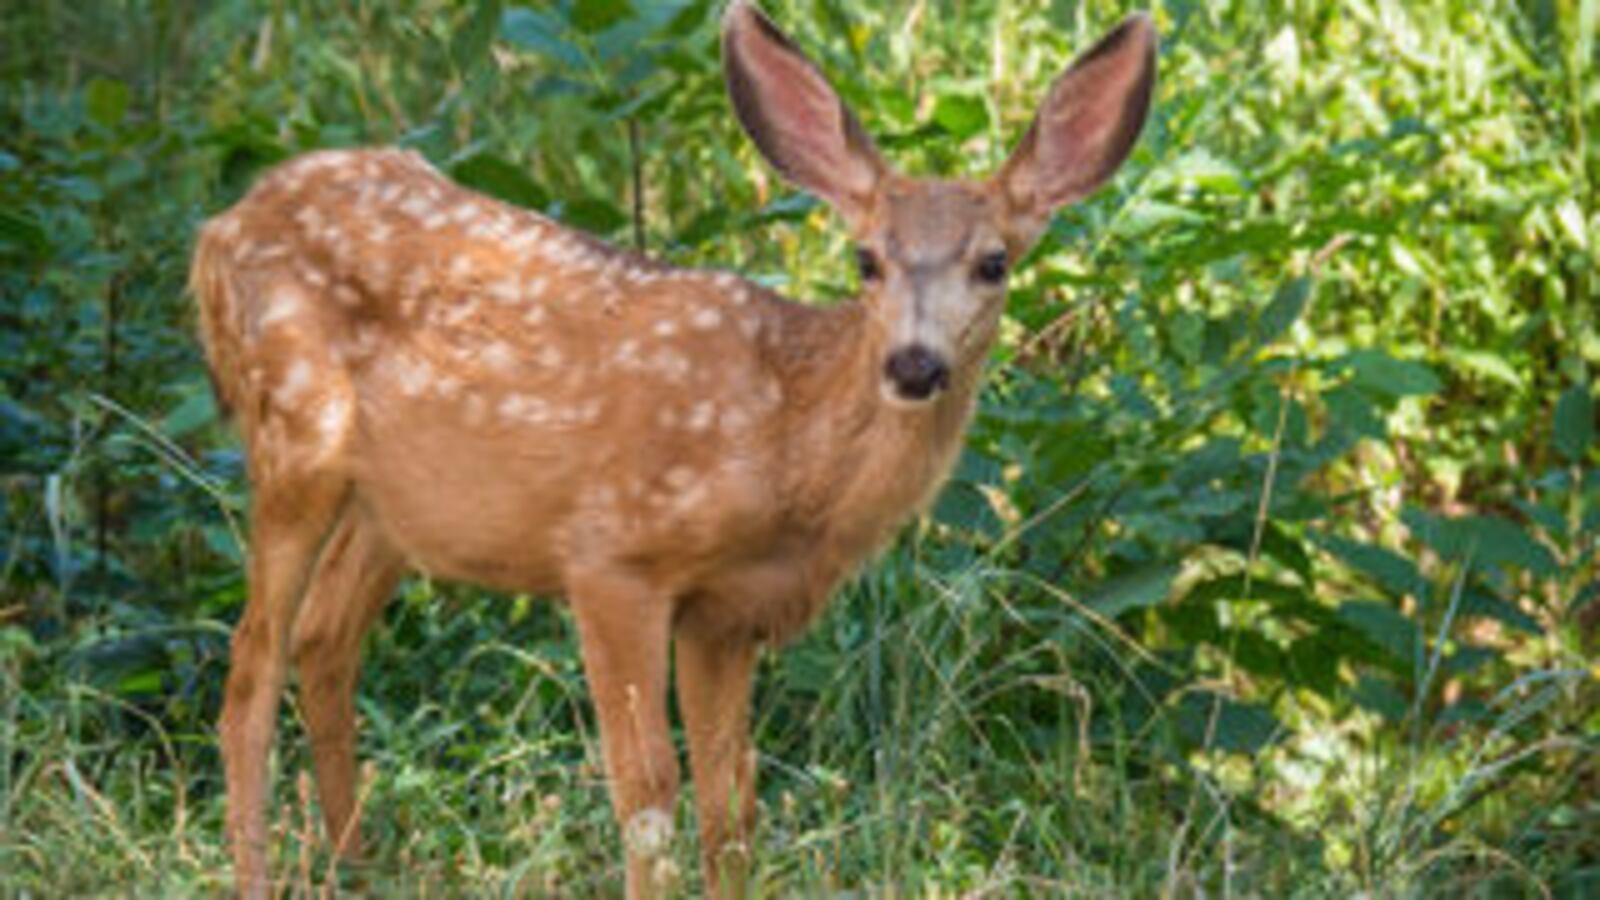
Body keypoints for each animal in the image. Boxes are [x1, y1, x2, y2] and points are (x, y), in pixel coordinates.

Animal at [193, 3, 1158, 890]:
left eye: (994, 263)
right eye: (866, 260)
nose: (915, 364)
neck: (785, 447)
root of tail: (217, 230)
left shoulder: (727, 613)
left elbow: (733, 805)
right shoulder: (612, 557)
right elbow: (650, 794)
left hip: (397, 509)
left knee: (325, 640)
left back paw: (364, 867)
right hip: (294, 433)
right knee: (250, 669)